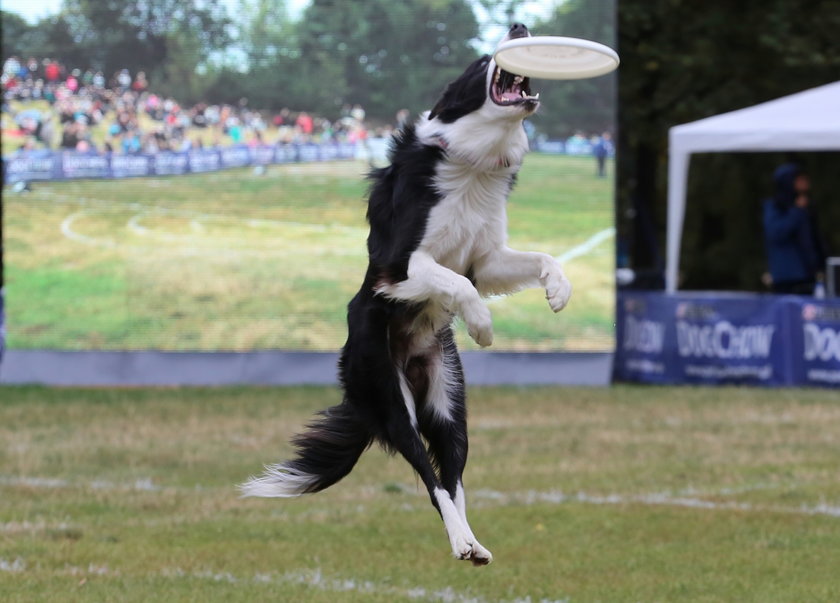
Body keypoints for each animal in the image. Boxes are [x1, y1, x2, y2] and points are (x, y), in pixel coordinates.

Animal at [243, 23, 572, 568]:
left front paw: (559, 292)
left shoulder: (487, 258)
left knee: (452, 476)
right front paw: (482, 324)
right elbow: (457, 283)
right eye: (481, 60)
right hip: (393, 400)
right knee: (429, 475)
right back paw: (461, 541)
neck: (475, 162)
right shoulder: (398, 266)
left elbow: (537, 258)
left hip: (448, 400)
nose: (520, 27)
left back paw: (472, 543)